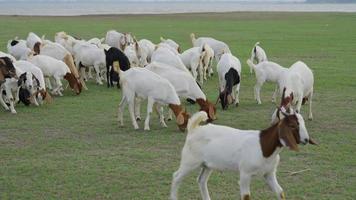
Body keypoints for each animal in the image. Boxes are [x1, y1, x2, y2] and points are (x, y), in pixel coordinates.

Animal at [170, 109, 318, 200]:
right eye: (292, 125)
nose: (306, 140)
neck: (263, 146)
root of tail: (193, 129)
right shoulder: (245, 174)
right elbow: (246, 196)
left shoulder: (269, 173)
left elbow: (280, 192)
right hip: (190, 161)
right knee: (176, 176)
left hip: (207, 164)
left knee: (201, 180)